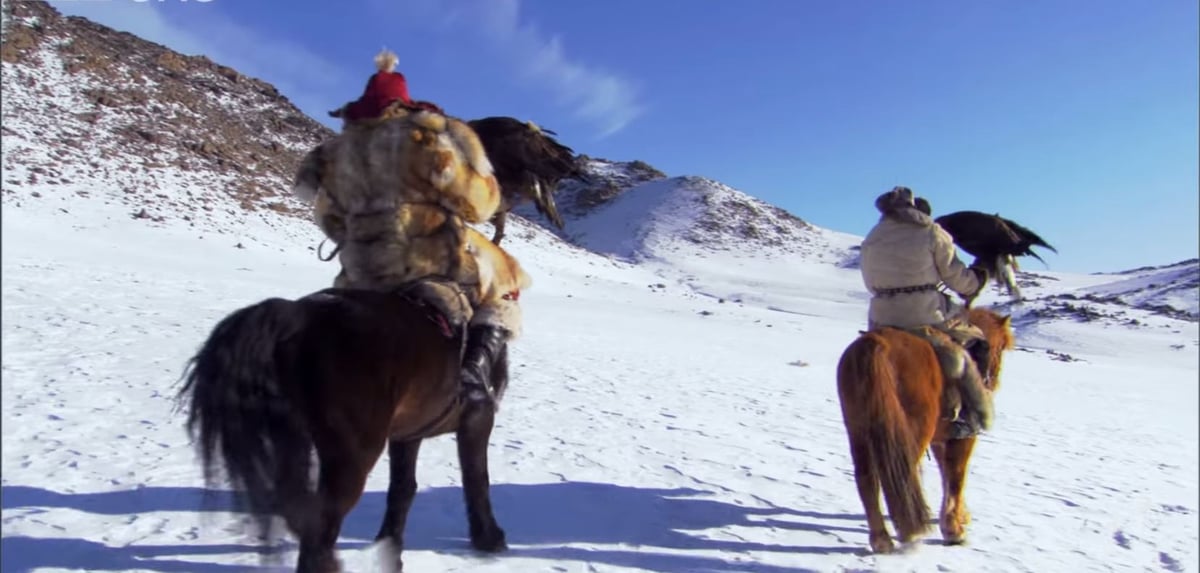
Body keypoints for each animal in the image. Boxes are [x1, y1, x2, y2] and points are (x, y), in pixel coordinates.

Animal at [175, 286, 508, 573]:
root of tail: (296, 316)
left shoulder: (407, 434)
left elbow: (402, 490)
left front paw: (390, 552)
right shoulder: (478, 418)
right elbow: (477, 478)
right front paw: (489, 538)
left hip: (292, 440)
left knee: (298, 507)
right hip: (351, 456)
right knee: (319, 524)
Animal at [835, 309, 1012, 556]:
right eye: (1000, 346)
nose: (992, 381)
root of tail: (874, 345)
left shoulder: (940, 439)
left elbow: (946, 474)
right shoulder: (963, 438)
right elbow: (956, 477)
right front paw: (954, 530)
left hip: (859, 431)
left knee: (867, 479)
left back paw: (882, 540)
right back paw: (909, 534)